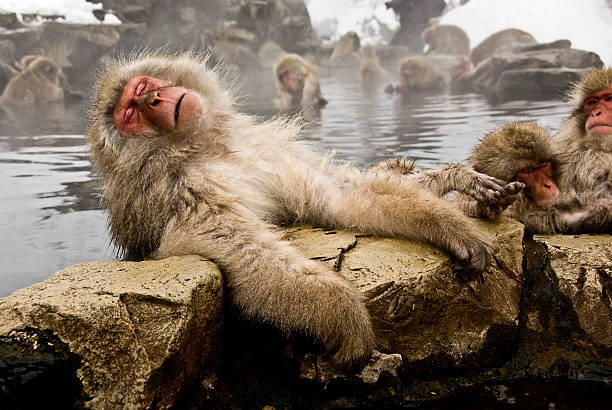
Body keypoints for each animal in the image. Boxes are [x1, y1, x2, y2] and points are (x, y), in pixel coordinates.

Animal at [87, 50, 520, 372]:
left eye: (144, 89)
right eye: (132, 113)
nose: (154, 100)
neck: (200, 146)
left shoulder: (261, 152)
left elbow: (336, 196)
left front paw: (450, 222)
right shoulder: (180, 190)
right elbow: (235, 244)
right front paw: (343, 311)